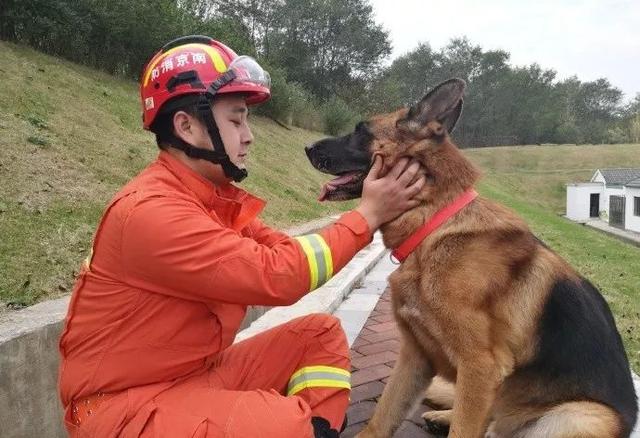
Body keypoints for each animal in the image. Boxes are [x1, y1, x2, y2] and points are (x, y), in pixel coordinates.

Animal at [308, 79, 636, 438]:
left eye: (360, 131)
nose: (307, 147)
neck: (435, 223)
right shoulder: (414, 357)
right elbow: (381, 416)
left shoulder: (479, 368)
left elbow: (463, 429)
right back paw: (441, 416)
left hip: (579, 416)